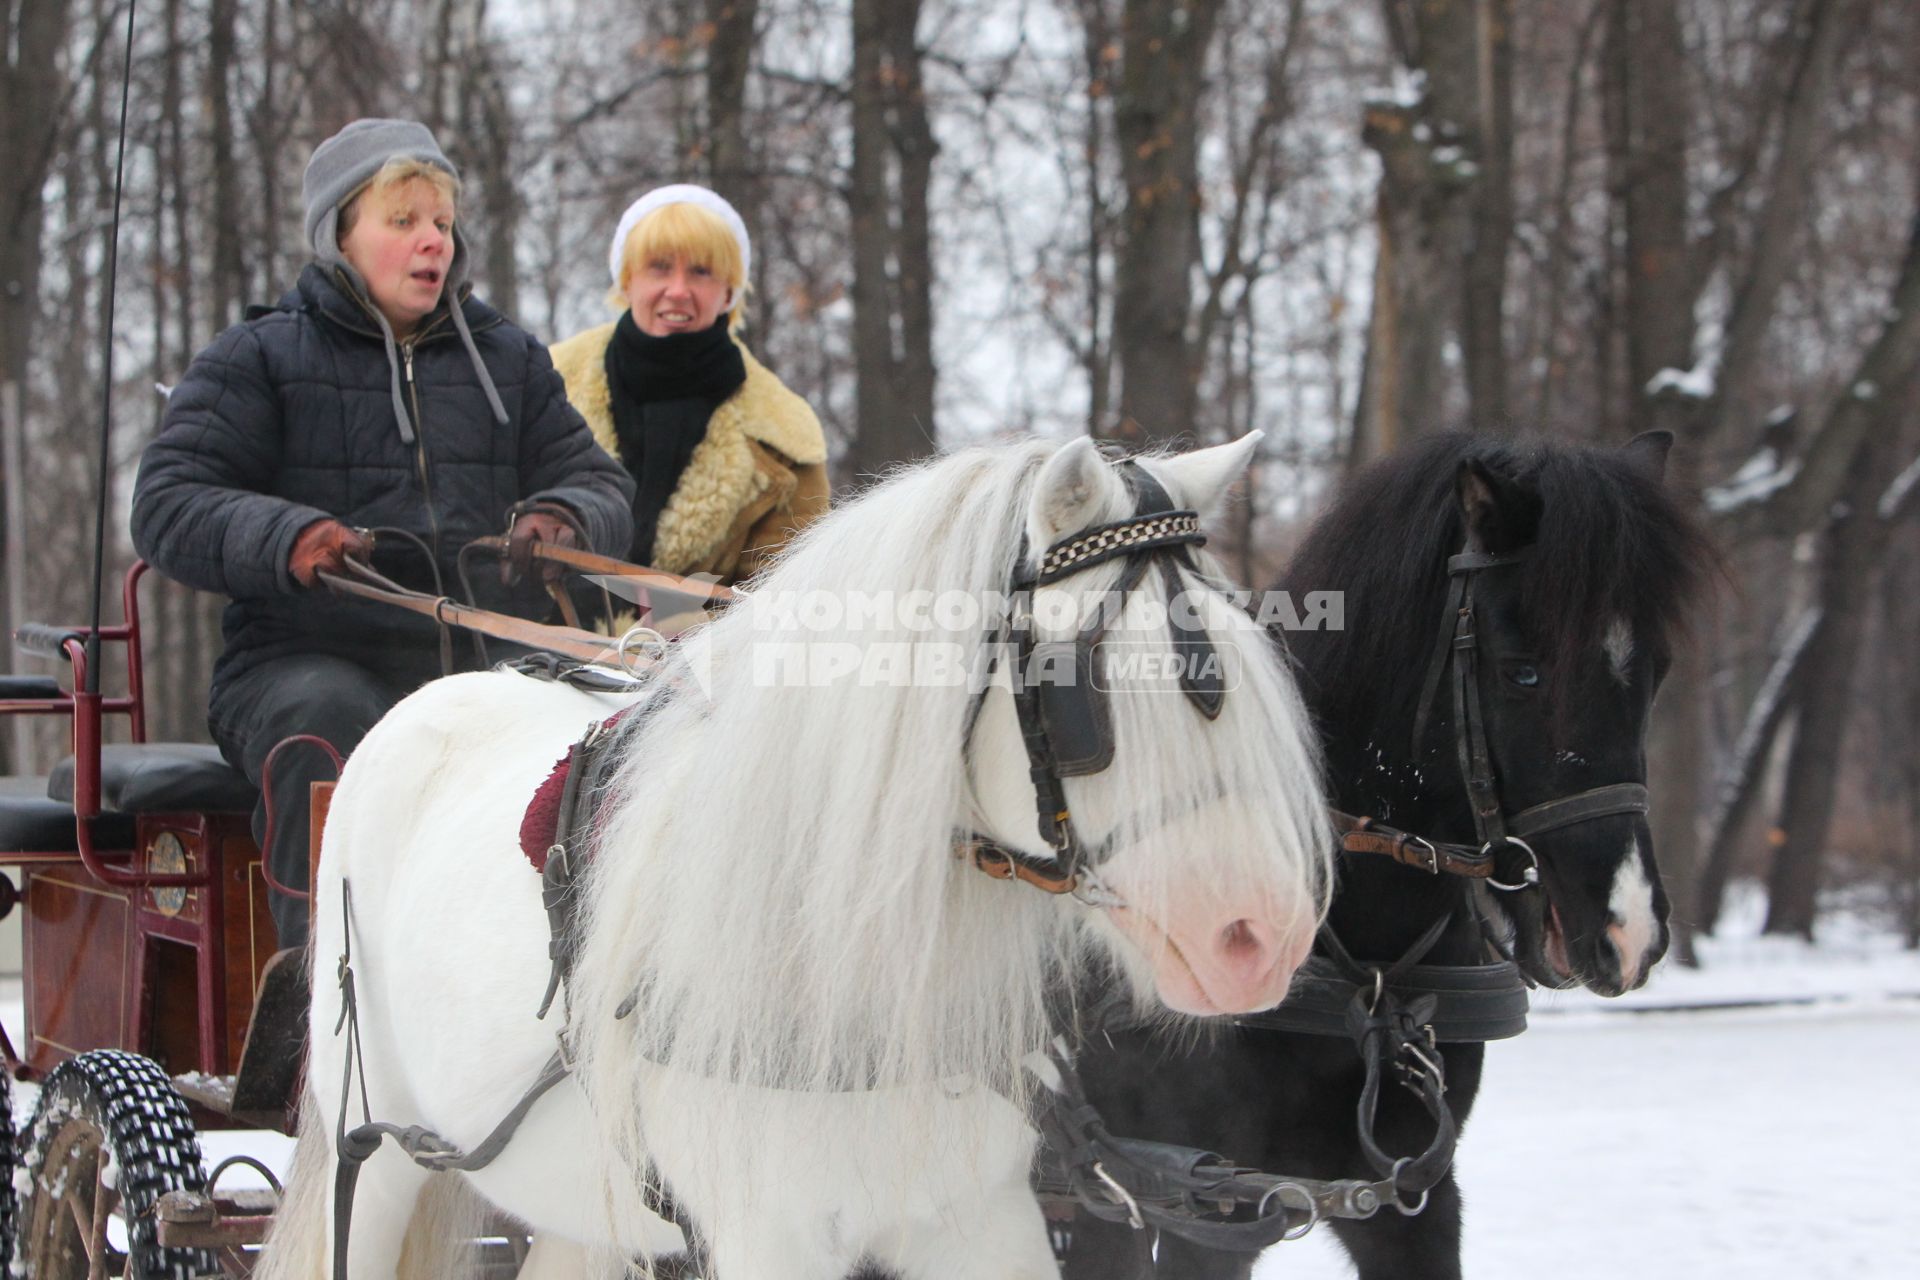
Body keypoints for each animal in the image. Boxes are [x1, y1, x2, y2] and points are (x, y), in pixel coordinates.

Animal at [259, 433, 1336, 1280]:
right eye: (1082, 695)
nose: (1259, 937)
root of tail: (433, 697)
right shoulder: (766, 1236)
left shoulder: (979, 1219)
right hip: (375, 1147)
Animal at [1067, 433, 1712, 1280]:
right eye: (1523, 671)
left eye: (1657, 670)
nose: (1627, 928)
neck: (1361, 975)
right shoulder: (1194, 1205)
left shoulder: (1411, 1203)